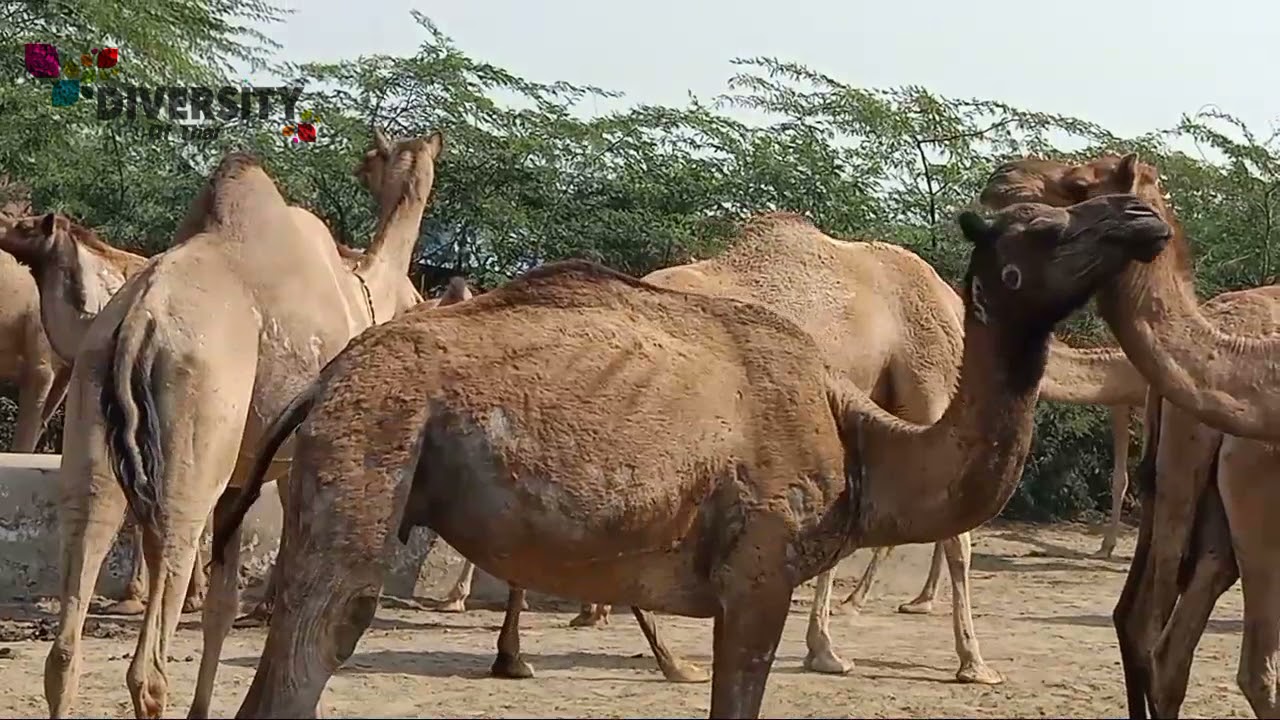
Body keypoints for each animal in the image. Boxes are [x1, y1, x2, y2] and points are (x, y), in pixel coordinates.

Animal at [42, 128, 441, 720]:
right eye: (375, 158)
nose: (359, 167)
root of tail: (138, 320)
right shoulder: (294, 459)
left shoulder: (238, 478)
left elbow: (222, 608)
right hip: (192, 433)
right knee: (150, 660)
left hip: (95, 409)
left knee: (69, 627)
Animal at [211, 192, 1171, 718]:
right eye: (1040, 228)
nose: (1142, 215)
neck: (862, 439)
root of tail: (325, 382)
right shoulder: (759, 575)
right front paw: (962, 663)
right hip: (367, 454)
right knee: (312, 649)